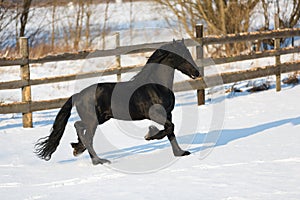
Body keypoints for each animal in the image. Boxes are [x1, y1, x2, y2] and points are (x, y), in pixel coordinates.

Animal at [35, 39, 199, 166]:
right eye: (182, 56)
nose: (197, 73)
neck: (156, 86)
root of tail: (79, 95)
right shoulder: (154, 114)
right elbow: (169, 128)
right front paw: (149, 135)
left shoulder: (168, 113)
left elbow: (170, 130)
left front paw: (180, 152)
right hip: (94, 121)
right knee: (87, 136)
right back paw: (98, 160)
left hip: (99, 119)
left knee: (79, 126)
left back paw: (77, 148)